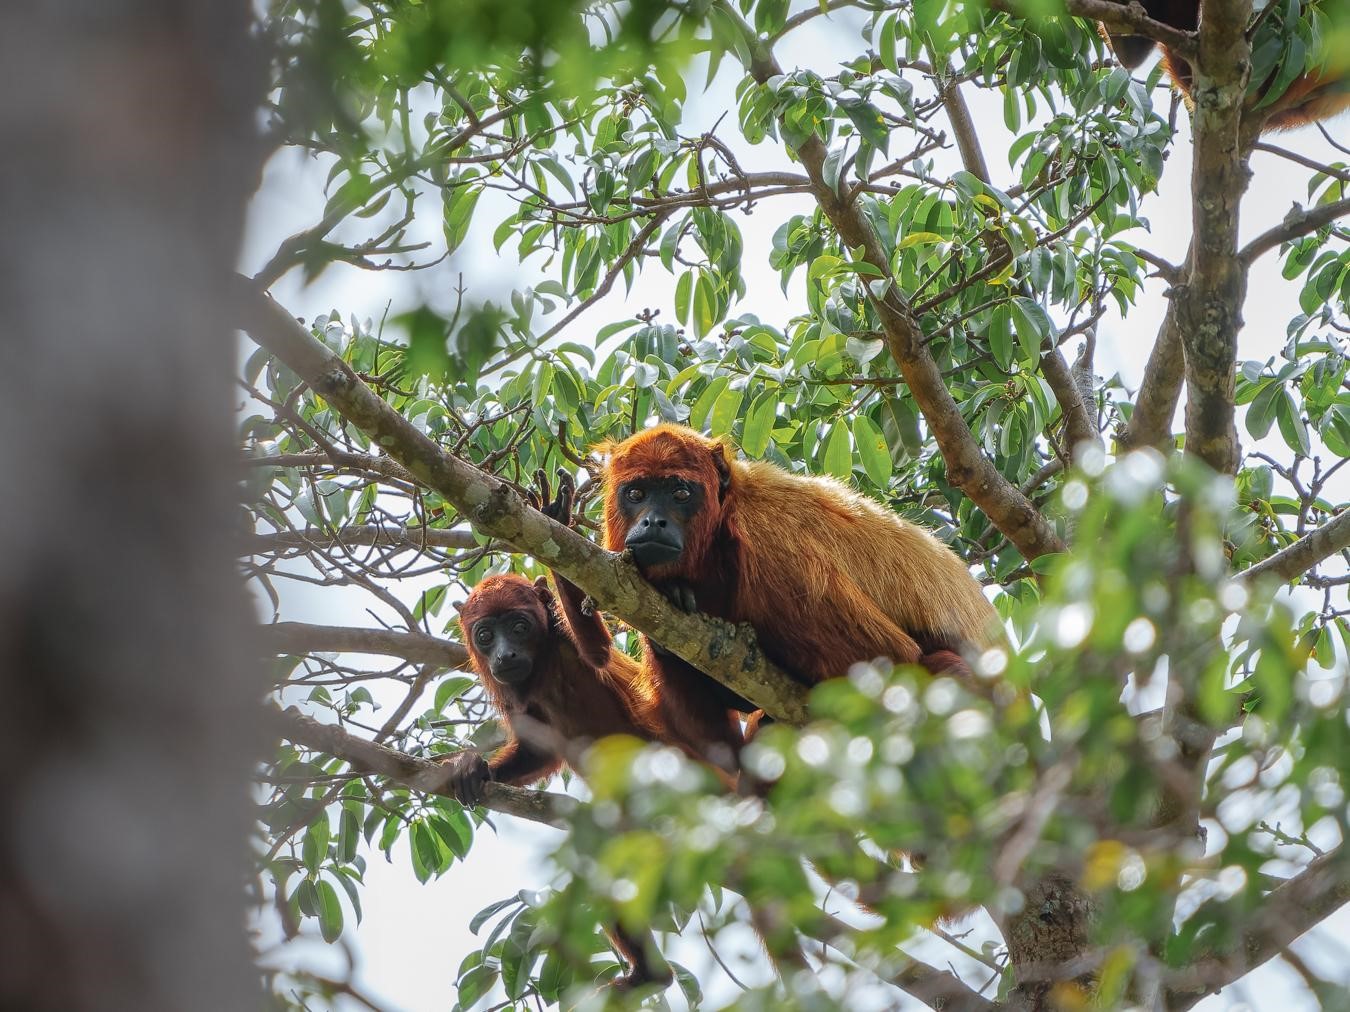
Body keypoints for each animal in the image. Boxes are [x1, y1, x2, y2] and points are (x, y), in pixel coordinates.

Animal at [602, 426, 1004, 777]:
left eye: (681, 494)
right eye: (636, 494)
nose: (654, 522)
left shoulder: (776, 547)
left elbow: (889, 657)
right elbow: (717, 748)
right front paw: (673, 596)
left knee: (944, 668)